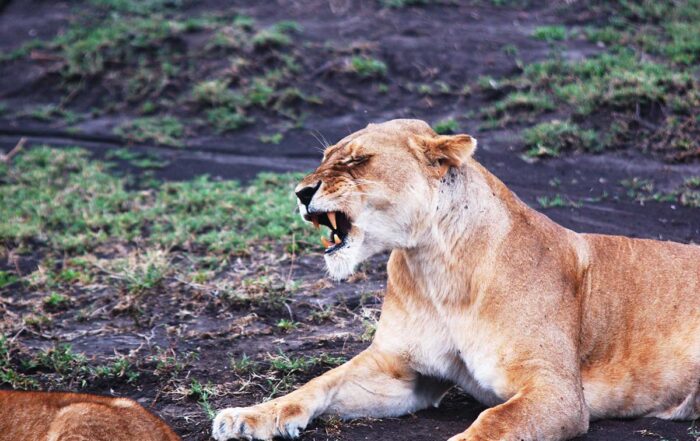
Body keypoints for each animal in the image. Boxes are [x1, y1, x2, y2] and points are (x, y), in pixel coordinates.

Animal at [213, 119, 700, 441]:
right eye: (325, 158)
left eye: (357, 160)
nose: (300, 193)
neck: (436, 268)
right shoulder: (399, 370)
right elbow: (319, 382)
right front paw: (246, 416)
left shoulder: (558, 389)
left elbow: (494, 421)